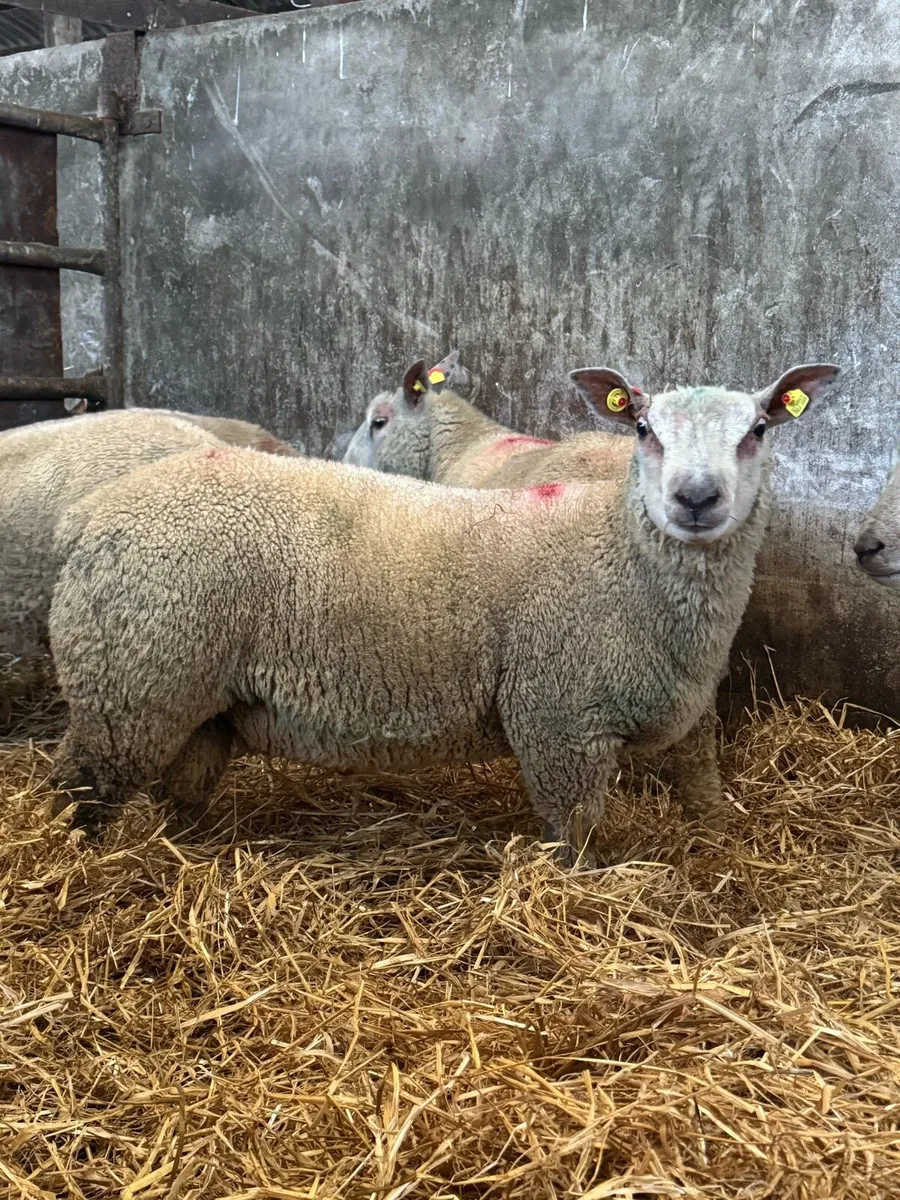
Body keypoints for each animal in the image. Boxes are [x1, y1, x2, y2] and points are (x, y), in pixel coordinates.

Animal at [48, 362, 838, 863]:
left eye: (758, 431)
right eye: (643, 429)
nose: (696, 497)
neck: (619, 554)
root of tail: (91, 516)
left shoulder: (690, 716)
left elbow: (706, 798)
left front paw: (719, 851)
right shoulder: (558, 723)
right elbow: (575, 840)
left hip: (194, 704)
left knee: (177, 790)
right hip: (127, 688)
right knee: (79, 791)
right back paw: (68, 862)